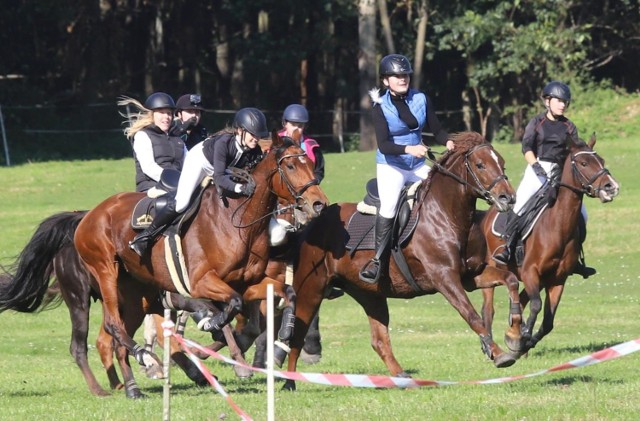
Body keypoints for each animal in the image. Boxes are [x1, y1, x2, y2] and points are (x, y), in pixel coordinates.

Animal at [72, 130, 328, 374]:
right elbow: (233, 304)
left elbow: (288, 293)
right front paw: (212, 325)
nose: (319, 203)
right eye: (291, 166)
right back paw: (146, 356)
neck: (238, 221)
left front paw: (284, 335)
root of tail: (89, 215)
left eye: (310, 163)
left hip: (134, 285)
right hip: (106, 271)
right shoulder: (201, 282)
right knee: (112, 323)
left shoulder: (247, 283)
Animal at [282, 132, 524, 390]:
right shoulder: (445, 279)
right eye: (480, 165)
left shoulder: (471, 275)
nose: (508, 198)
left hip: (369, 294)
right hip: (311, 289)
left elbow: (510, 281)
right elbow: (471, 315)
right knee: (298, 334)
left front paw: (515, 336)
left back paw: (401, 377)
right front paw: (499, 354)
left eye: (501, 162)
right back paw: (289, 382)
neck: (448, 215)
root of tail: (310, 225)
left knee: (379, 339)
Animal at [478, 133, 616, 352]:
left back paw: (513, 332)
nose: (611, 187)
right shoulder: (530, 272)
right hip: (492, 270)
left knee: (520, 299)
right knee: (488, 309)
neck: (557, 227)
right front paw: (523, 336)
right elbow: (536, 305)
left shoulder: (557, 279)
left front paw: (522, 339)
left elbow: (548, 321)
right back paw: (491, 344)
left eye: (601, 160)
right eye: (584, 163)